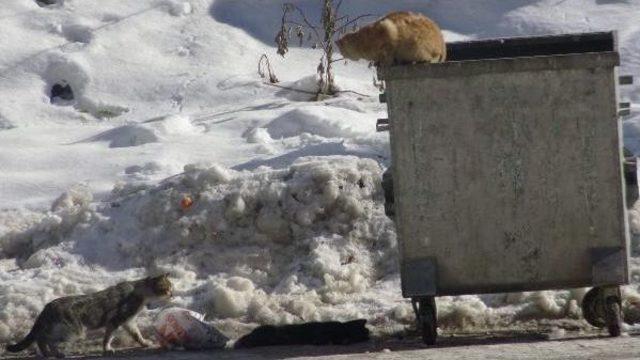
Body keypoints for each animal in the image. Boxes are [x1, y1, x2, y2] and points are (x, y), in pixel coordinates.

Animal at [4, 274, 172, 356]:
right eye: (167, 289)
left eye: (171, 288)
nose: (172, 294)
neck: (139, 291)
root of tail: (48, 306)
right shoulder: (117, 320)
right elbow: (108, 337)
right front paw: (107, 349)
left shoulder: (128, 322)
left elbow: (136, 335)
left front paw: (144, 343)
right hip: (73, 331)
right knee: (44, 338)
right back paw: (56, 353)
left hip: (62, 329)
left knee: (42, 338)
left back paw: (48, 353)